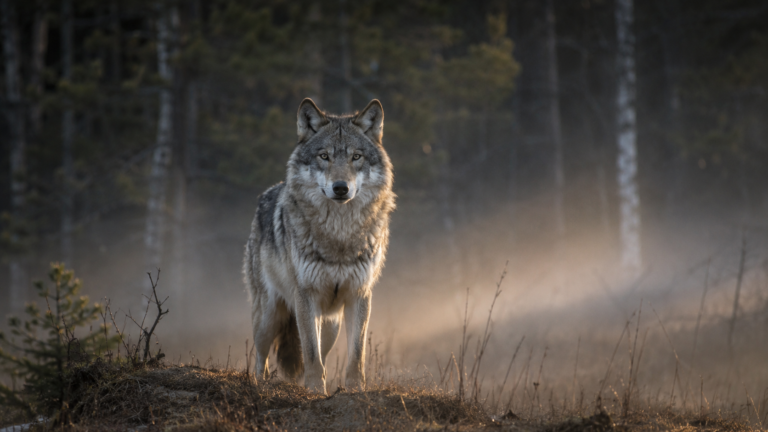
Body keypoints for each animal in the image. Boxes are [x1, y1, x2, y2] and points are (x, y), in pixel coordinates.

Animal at [243, 98, 395, 394]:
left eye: (356, 157)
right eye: (324, 156)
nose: (340, 188)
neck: (339, 234)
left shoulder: (359, 293)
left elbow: (356, 354)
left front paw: (355, 390)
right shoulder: (306, 295)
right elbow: (311, 354)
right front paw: (314, 391)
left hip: (331, 325)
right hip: (268, 316)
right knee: (260, 358)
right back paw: (261, 384)